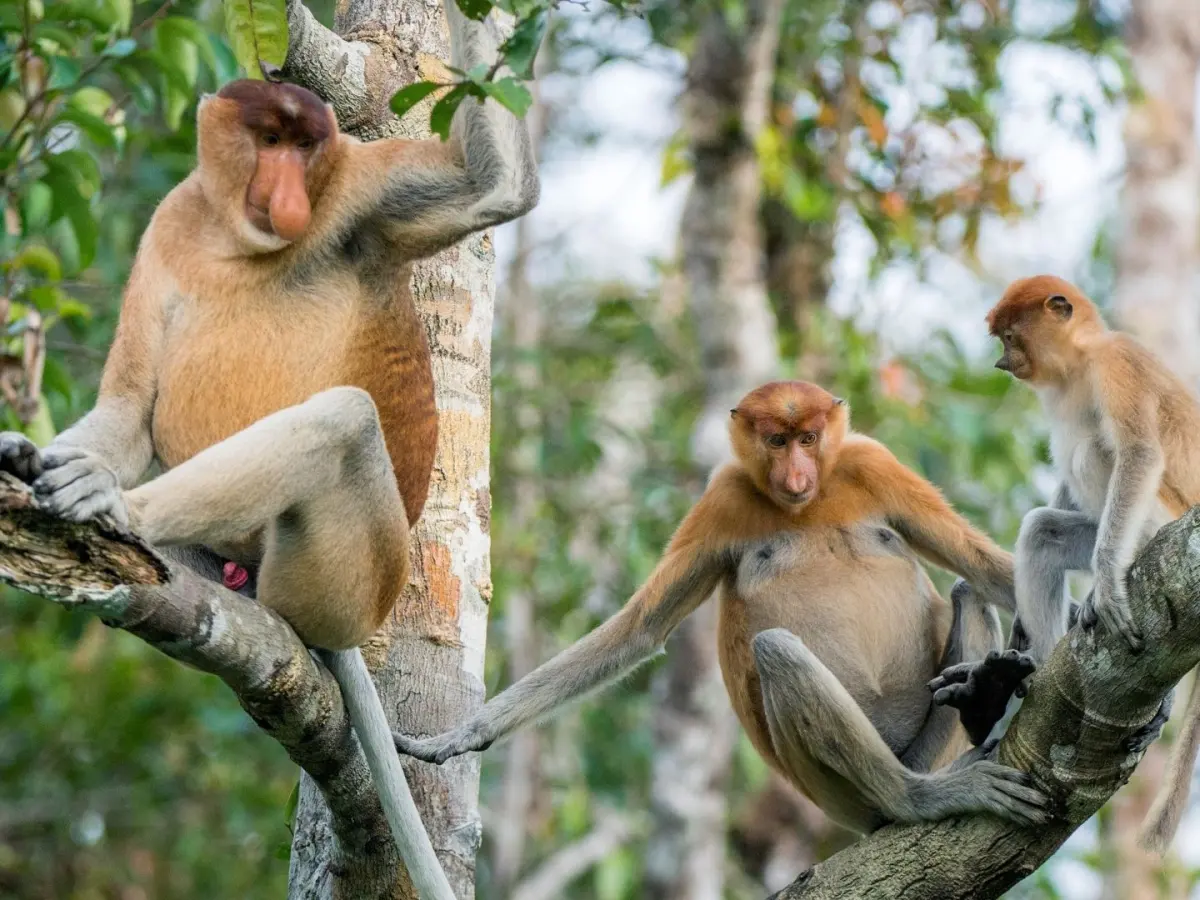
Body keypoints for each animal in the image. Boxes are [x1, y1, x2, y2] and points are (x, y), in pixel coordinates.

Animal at [0, 2, 538, 895]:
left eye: (306, 146)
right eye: (270, 138)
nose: (287, 195)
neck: (235, 239)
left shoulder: (359, 189)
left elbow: (491, 191)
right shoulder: (169, 226)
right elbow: (127, 410)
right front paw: (27, 450)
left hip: (347, 580)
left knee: (343, 420)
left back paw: (115, 510)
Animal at [394, 380, 1052, 834]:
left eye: (809, 438)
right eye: (776, 440)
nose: (796, 474)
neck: (805, 506)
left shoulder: (872, 462)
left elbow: (981, 564)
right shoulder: (724, 498)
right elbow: (639, 629)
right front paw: (459, 736)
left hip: (924, 745)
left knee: (967, 591)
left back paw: (984, 695)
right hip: (832, 789)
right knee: (778, 648)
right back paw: (915, 797)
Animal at [985, 274, 1196, 852]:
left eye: (1009, 336)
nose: (1001, 362)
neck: (1081, 361)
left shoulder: (1116, 363)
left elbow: (1140, 453)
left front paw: (1106, 584)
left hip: (1157, 521)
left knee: (1097, 449)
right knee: (1042, 531)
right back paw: (1037, 672)